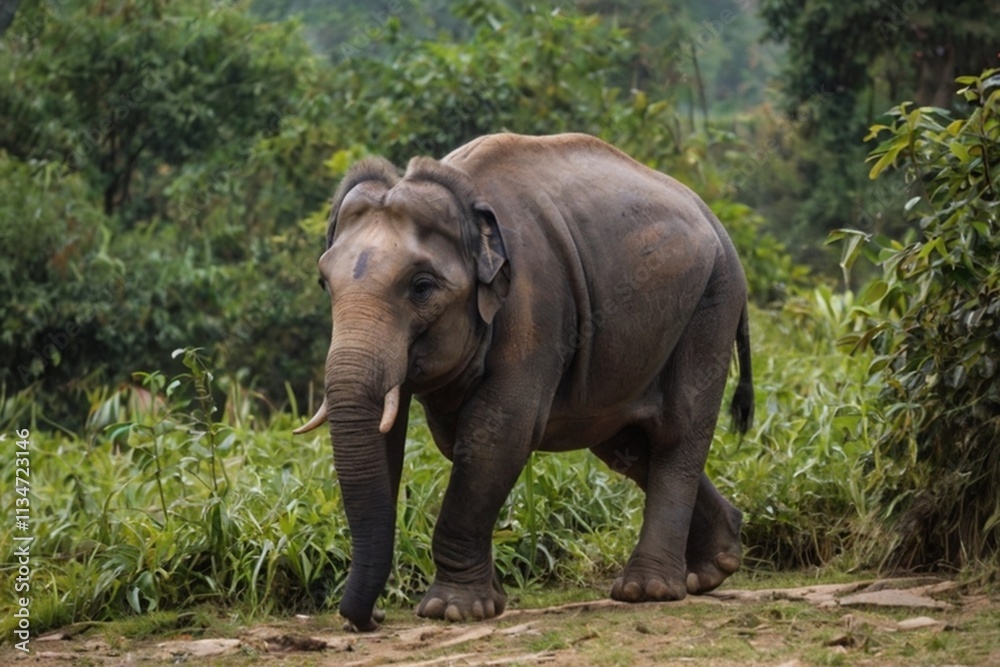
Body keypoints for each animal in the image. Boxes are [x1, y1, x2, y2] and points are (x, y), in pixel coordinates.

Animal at [294, 132, 754, 631]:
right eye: (324, 282)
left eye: (421, 286)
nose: (370, 618)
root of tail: (713, 217)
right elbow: (394, 441)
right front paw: (486, 603)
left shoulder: (536, 305)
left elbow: (496, 434)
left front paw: (454, 610)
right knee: (627, 449)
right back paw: (715, 565)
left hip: (711, 303)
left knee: (676, 432)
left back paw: (647, 590)